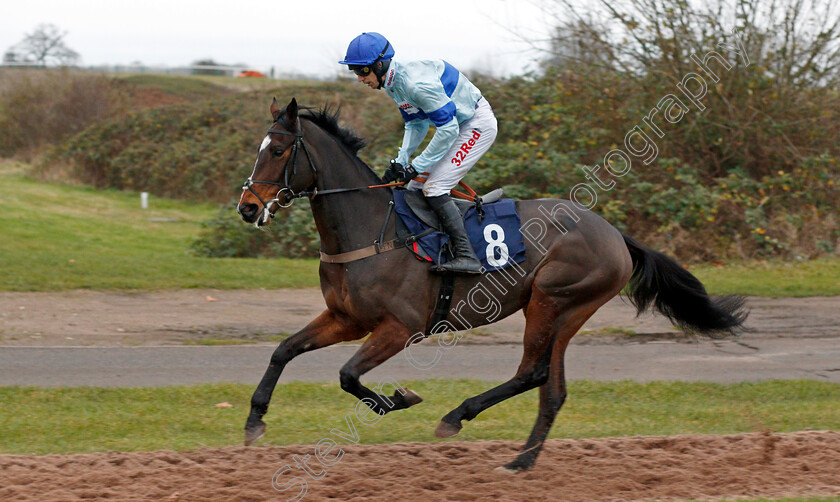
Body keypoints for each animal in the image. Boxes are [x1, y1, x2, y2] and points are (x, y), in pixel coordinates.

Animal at [236, 97, 748, 470]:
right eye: (260, 148)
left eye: (278, 151)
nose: (247, 206)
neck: (371, 231)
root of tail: (614, 234)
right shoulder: (346, 318)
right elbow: (283, 350)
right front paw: (254, 420)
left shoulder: (400, 328)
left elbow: (347, 375)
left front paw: (398, 399)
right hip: (567, 312)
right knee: (552, 389)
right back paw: (521, 461)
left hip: (553, 299)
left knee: (532, 373)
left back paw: (456, 418)